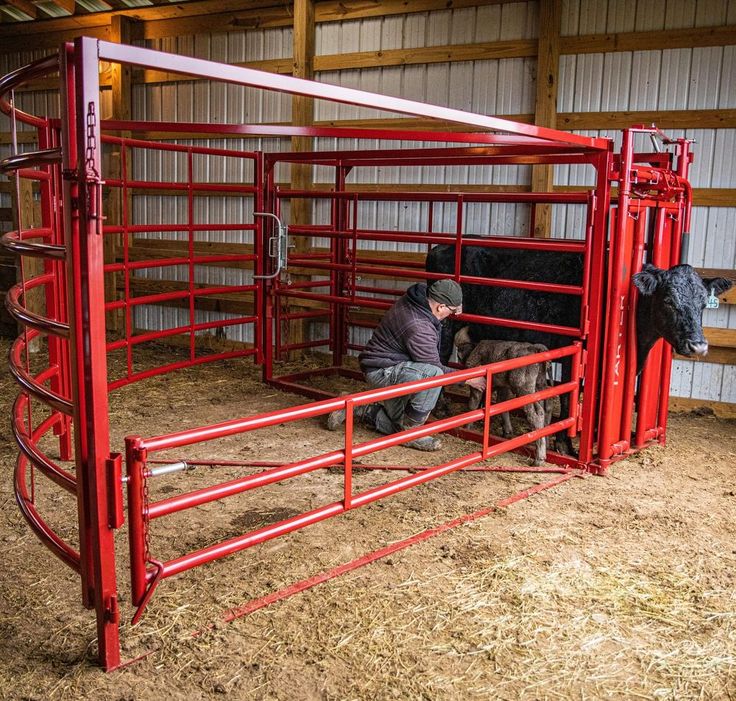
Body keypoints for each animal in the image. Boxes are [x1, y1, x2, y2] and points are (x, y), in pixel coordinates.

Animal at [428, 243, 732, 454]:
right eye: (668, 299)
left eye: (703, 302)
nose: (698, 345)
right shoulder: (572, 351)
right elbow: (567, 397)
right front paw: (565, 443)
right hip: (446, 322)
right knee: (440, 356)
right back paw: (441, 407)